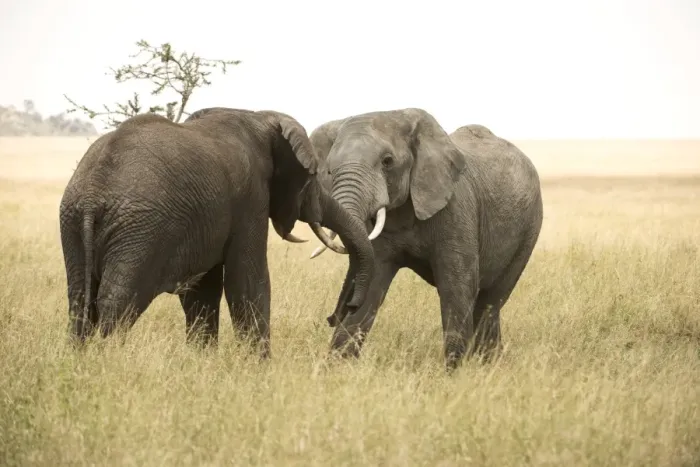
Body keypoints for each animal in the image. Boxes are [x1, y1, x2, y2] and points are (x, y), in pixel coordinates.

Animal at [59, 107, 375, 357]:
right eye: (312, 178)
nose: (338, 314)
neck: (260, 117)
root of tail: (93, 195)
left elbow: (203, 292)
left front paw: (202, 362)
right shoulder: (250, 198)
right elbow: (246, 281)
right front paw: (257, 369)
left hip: (73, 224)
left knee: (80, 301)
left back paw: (78, 361)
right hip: (138, 233)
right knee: (118, 302)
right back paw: (107, 359)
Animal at [306, 108, 543, 370]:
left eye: (387, 162)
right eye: (329, 170)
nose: (332, 316)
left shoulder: (456, 208)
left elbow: (457, 286)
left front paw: (454, 373)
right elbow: (372, 285)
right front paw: (335, 370)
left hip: (529, 228)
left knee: (490, 301)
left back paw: (487, 365)